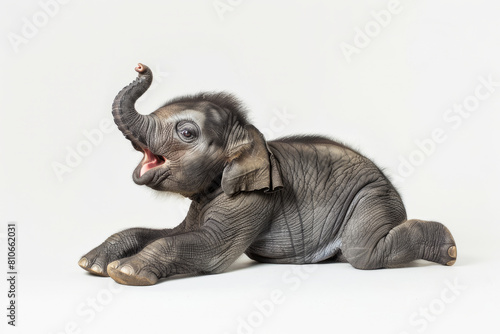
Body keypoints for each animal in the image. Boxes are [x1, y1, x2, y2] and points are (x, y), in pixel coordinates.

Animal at [78, 64, 458, 286]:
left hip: (371, 197)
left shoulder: (253, 200)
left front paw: (124, 272)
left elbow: (210, 249)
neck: (249, 138)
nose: (141, 65)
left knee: (363, 252)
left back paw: (449, 249)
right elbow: (171, 232)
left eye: (186, 133)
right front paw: (92, 264)